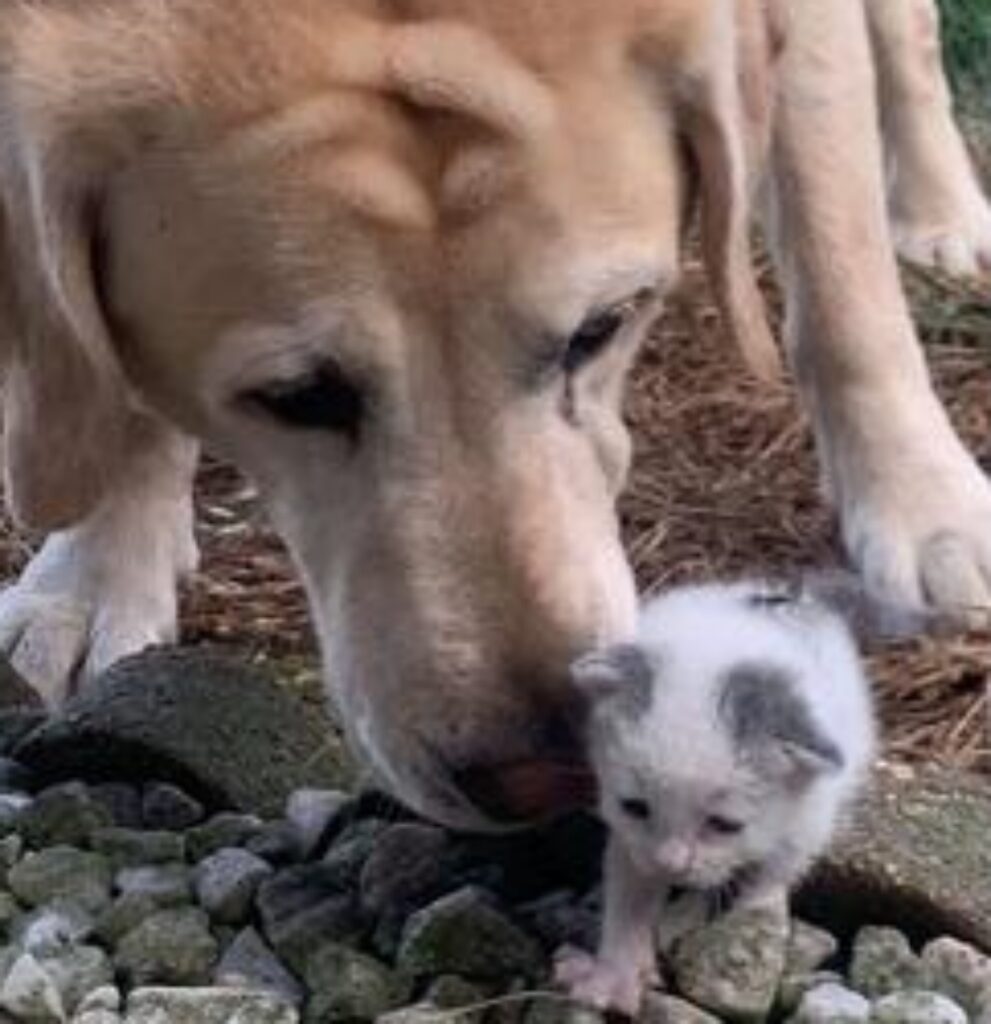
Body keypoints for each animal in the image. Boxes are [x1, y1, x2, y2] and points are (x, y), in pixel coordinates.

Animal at [0, 0, 986, 827]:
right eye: (295, 397)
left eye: (601, 327)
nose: (546, 774)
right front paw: (94, 576)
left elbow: (838, 258)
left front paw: (927, 504)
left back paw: (938, 211)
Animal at [556, 577, 876, 1015]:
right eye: (634, 807)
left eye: (724, 825)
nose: (671, 864)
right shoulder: (633, 843)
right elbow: (629, 892)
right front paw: (615, 976)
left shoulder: (807, 821)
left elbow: (767, 883)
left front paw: (740, 924)